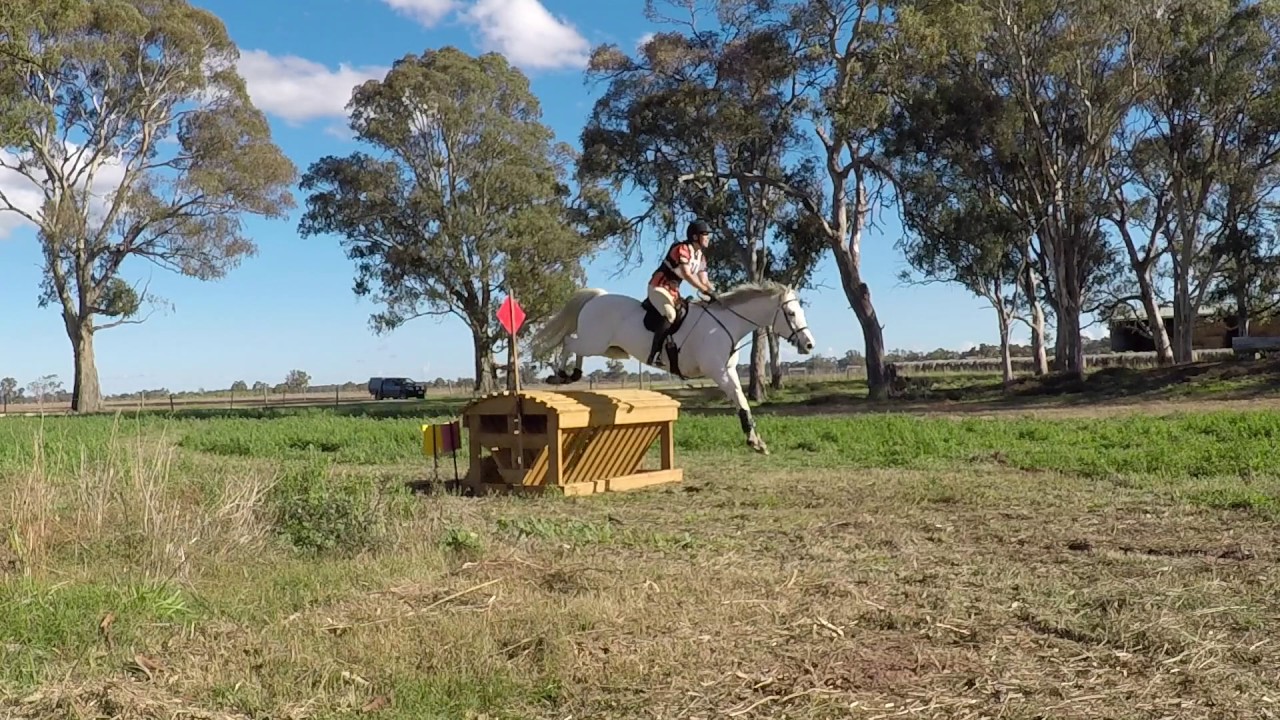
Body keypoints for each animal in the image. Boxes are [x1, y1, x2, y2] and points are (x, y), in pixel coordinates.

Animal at [528, 280, 816, 455]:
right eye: (791, 314)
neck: (727, 324)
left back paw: (571, 375)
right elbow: (740, 400)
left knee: (574, 347)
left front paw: (756, 441)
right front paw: (754, 441)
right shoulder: (718, 372)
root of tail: (598, 297)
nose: (809, 344)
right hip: (594, 341)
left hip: (608, 348)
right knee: (568, 341)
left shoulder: (729, 371)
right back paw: (560, 376)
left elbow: (742, 403)